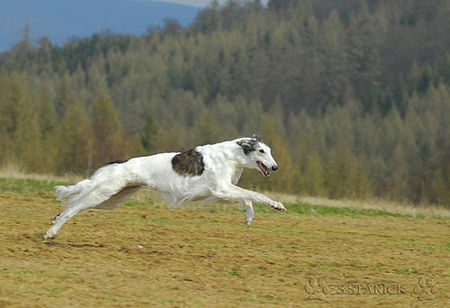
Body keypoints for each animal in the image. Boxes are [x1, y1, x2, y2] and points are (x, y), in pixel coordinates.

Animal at [44, 135, 286, 241]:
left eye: (269, 151)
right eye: (261, 151)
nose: (275, 167)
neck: (231, 155)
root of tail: (119, 164)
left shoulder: (220, 193)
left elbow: (247, 199)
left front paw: (249, 217)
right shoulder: (222, 189)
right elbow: (256, 194)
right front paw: (276, 204)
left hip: (112, 200)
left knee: (72, 204)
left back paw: (54, 221)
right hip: (103, 193)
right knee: (73, 208)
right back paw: (51, 231)